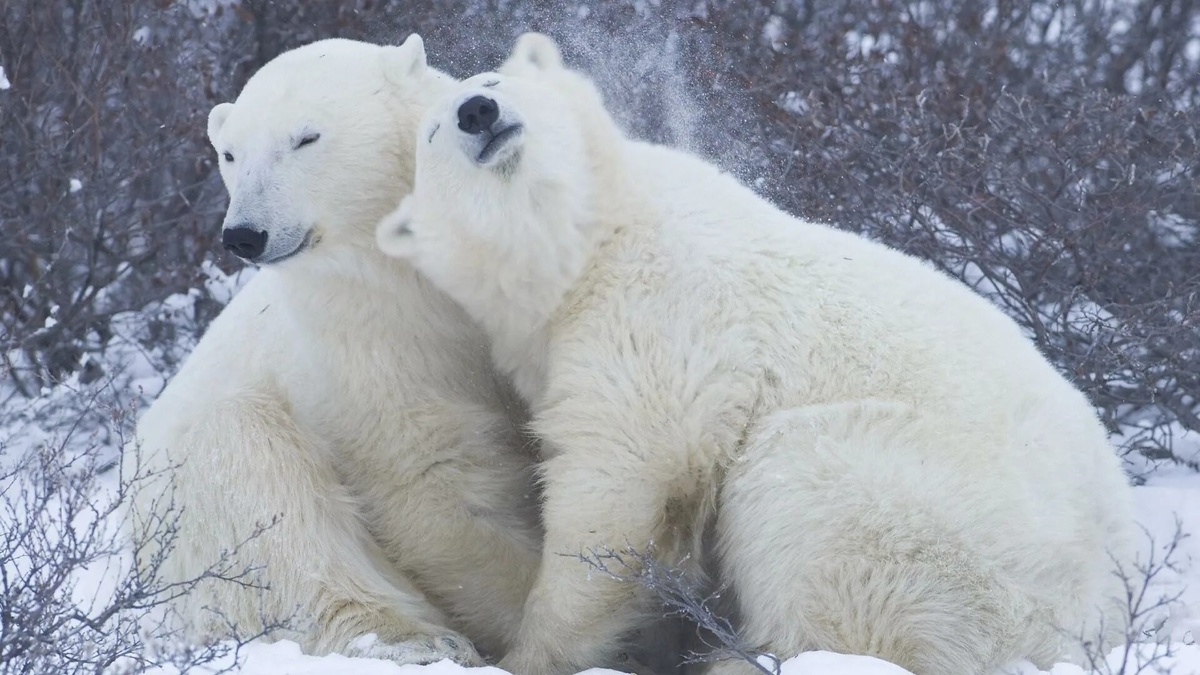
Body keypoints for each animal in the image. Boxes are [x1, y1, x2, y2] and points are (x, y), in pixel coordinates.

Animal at [125, 35, 543, 666]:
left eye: (305, 138)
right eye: (230, 154)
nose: (244, 234)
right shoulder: (365, 341)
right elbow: (432, 478)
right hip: (188, 514)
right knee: (259, 484)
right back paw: (414, 641)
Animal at [374, 35, 1138, 675]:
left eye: (493, 80)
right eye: (433, 133)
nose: (478, 111)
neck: (591, 241)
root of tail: (1102, 613)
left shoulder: (658, 311)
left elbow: (620, 479)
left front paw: (532, 652)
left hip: (955, 532)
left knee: (806, 495)